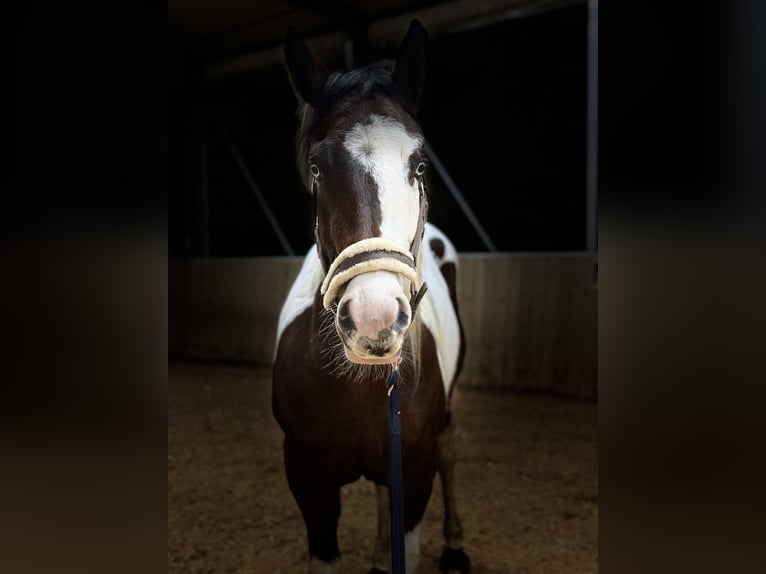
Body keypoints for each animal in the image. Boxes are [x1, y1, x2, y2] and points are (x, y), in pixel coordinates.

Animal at [272, 20, 471, 574]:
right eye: (317, 166)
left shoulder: (417, 470)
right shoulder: (307, 479)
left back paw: (455, 545)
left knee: (452, 452)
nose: (374, 318)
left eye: (420, 164)